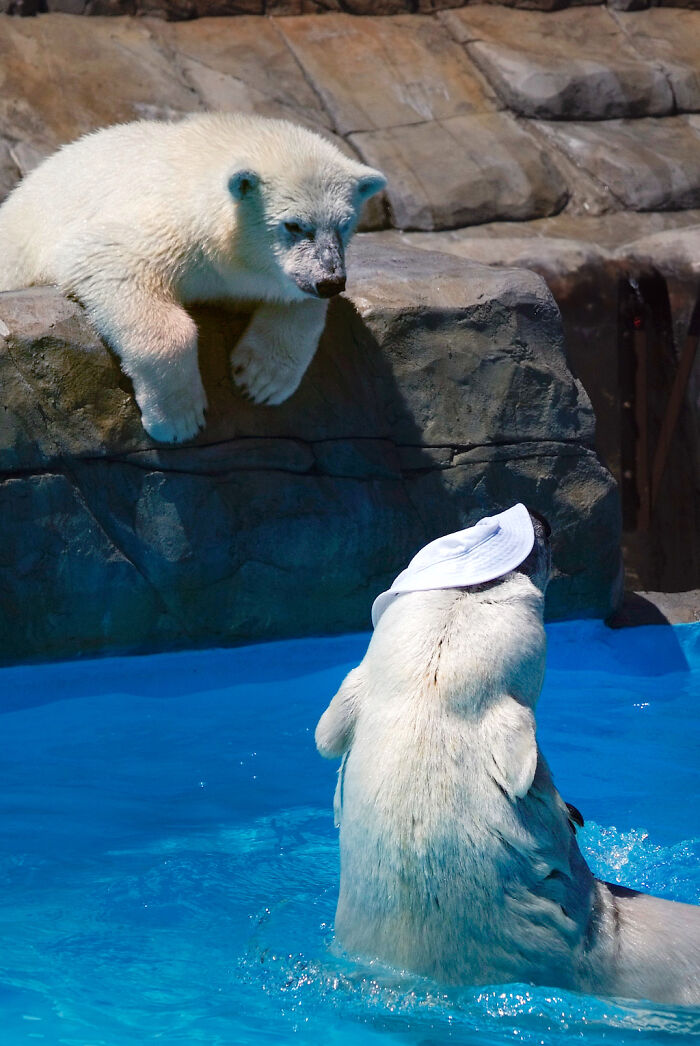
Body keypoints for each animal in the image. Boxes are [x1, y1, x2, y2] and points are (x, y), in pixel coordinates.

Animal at [0, 113, 385, 443]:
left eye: (344, 224)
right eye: (294, 225)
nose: (330, 280)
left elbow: (296, 300)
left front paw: (261, 379)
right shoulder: (167, 226)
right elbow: (110, 259)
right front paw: (178, 419)